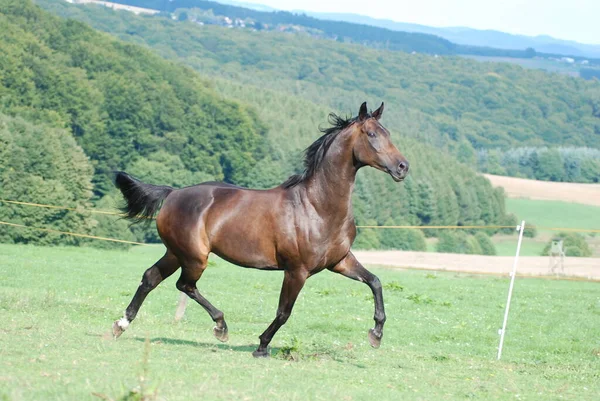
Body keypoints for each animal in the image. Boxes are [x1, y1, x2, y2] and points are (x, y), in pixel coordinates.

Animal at [112, 101, 408, 356]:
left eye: (388, 133)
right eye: (371, 134)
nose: (403, 167)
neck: (317, 206)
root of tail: (173, 193)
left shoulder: (340, 261)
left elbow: (375, 281)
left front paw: (376, 334)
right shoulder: (296, 271)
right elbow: (284, 312)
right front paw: (262, 346)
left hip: (176, 253)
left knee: (151, 278)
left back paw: (120, 325)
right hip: (195, 257)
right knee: (184, 285)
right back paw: (221, 326)